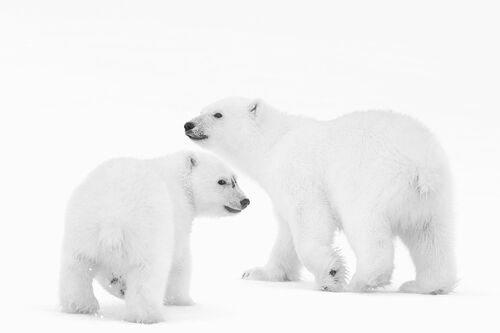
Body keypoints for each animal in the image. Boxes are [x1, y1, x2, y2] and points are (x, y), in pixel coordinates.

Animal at [59, 150, 250, 322]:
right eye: (222, 181)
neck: (180, 181)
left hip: (82, 229)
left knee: (77, 267)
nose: (245, 201)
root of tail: (112, 218)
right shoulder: (178, 218)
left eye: (235, 179)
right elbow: (181, 262)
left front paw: (118, 284)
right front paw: (185, 301)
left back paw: (80, 306)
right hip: (145, 233)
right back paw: (147, 316)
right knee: (147, 273)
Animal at [185, 98, 458, 294]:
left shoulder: (298, 173)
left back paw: (361, 281)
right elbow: (285, 235)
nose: (188, 125)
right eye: (202, 109)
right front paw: (258, 272)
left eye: (217, 114)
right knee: (430, 237)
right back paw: (427, 285)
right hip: (432, 199)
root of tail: (421, 163)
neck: (273, 142)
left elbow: (309, 218)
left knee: (366, 226)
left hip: (369, 181)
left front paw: (331, 274)